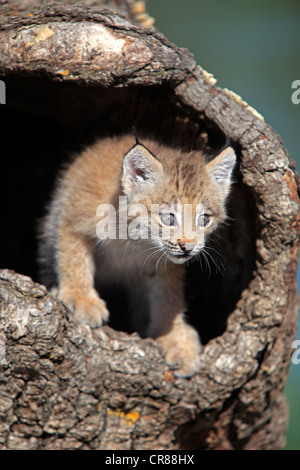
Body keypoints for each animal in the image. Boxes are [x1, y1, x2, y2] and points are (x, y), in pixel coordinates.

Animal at [39, 134, 237, 376]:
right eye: (169, 218)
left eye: (204, 219)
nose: (188, 247)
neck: (135, 238)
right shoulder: (73, 219)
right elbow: (73, 259)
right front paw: (81, 300)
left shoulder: (166, 264)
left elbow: (169, 297)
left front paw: (174, 337)